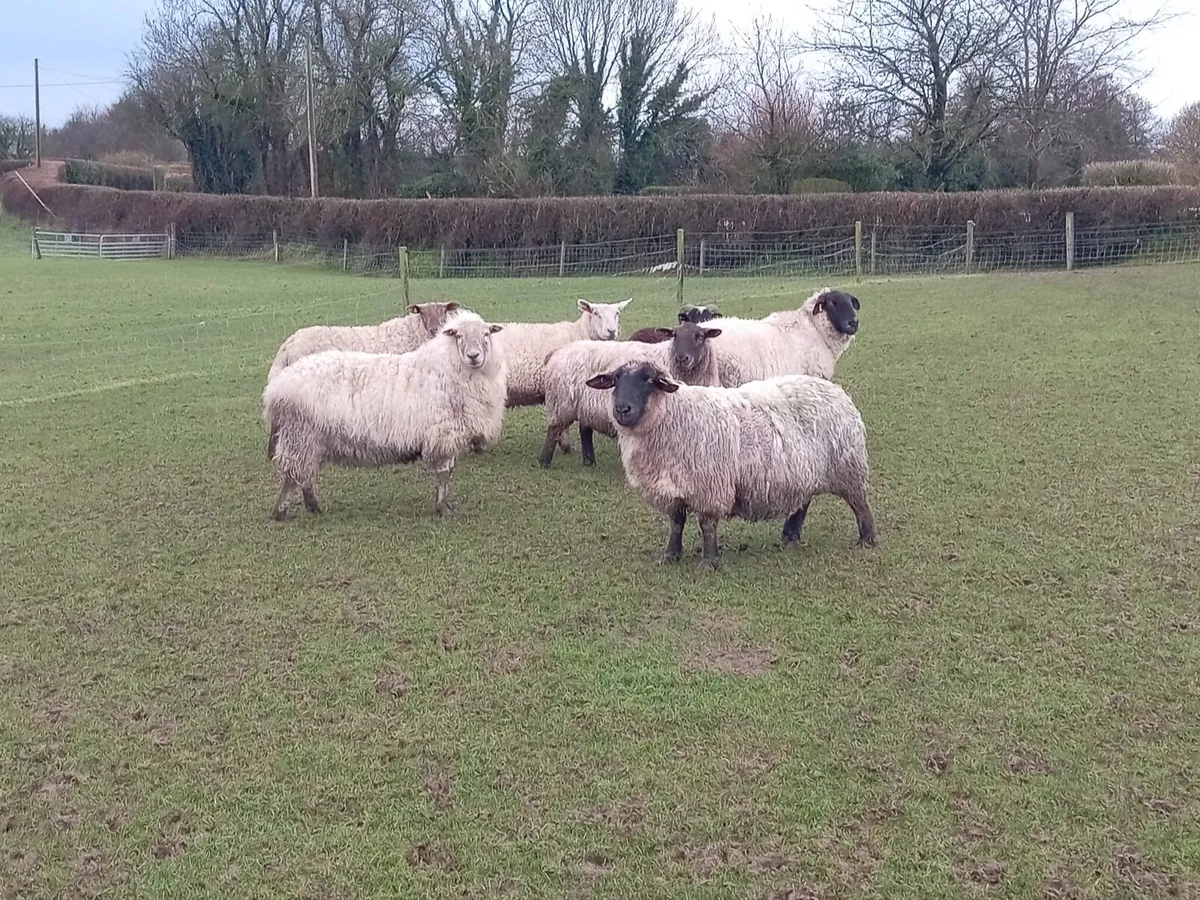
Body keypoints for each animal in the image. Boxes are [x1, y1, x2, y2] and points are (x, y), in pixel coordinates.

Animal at [263, 310, 506, 520]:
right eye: (458, 335)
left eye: (486, 334)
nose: (473, 356)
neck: (447, 368)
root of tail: (278, 385)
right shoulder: (442, 434)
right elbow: (444, 474)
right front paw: (443, 509)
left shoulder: (446, 436)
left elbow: (447, 473)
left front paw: (445, 506)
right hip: (301, 434)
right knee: (294, 475)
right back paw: (281, 512)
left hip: (311, 440)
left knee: (305, 476)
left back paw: (313, 507)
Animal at [538, 322, 723, 468]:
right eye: (675, 336)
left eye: (700, 336)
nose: (682, 358)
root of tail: (557, 352)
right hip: (561, 404)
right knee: (553, 431)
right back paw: (544, 462)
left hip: (584, 405)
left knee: (585, 430)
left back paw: (589, 462)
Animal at [585, 361, 876, 569]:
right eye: (615, 381)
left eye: (649, 380)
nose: (622, 409)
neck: (675, 415)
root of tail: (837, 391)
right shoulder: (674, 488)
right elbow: (676, 523)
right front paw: (670, 557)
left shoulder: (710, 487)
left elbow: (707, 526)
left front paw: (708, 563)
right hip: (803, 471)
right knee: (802, 503)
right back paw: (789, 537)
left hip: (848, 466)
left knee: (860, 503)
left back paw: (867, 540)